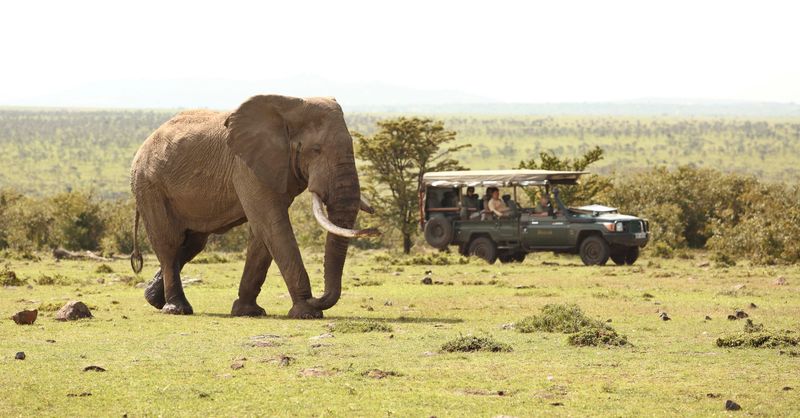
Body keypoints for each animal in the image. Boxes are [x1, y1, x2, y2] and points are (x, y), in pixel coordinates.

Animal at [129, 95, 378, 319]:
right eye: (316, 150)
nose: (316, 298)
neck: (291, 105)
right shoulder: (246, 167)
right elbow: (272, 225)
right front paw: (307, 313)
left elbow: (262, 233)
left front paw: (248, 312)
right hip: (149, 185)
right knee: (169, 242)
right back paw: (177, 309)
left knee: (192, 244)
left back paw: (153, 299)